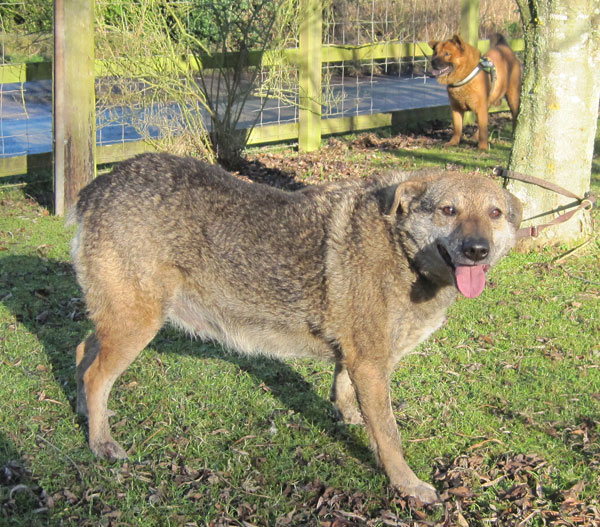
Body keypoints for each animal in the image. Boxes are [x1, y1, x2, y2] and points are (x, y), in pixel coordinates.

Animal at [69, 153, 520, 504]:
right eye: (448, 210)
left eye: (494, 213)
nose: (477, 250)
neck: (402, 251)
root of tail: (101, 185)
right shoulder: (370, 362)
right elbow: (390, 436)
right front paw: (407, 485)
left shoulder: (357, 359)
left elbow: (346, 393)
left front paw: (351, 418)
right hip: (137, 324)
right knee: (95, 376)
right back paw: (101, 441)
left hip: (121, 321)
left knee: (81, 352)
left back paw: (87, 415)